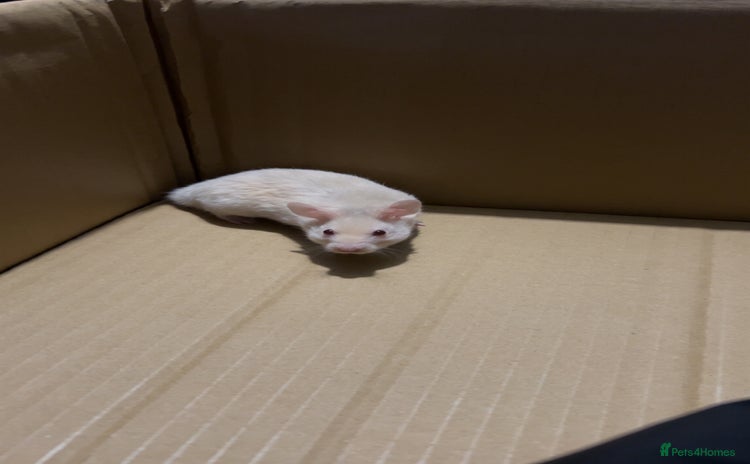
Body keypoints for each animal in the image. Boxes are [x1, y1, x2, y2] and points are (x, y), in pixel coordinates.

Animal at [167, 168, 422, 254]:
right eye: (327, 232)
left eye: (380, 232)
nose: (347, 250)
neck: (355, 200)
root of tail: (188, 191)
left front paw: (420, 223)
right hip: (219, 203)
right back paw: (239, 219)